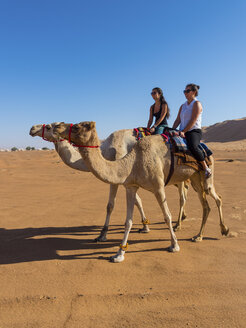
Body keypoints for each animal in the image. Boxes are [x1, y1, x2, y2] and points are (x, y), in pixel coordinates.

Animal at [28, 123, 187, 241]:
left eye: (50, 126)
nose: (32, 128)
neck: (105, 150)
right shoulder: (124, 179)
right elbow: (127, 202)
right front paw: (143, 226)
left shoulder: (121, 176)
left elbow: (123, 203)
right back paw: (182, 219)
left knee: (182, 197)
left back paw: (179, 224)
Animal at [53, 121, 229, 262]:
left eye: (77, 126)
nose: (56, 126)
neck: (132, 161)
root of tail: (205, 147)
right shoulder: (131, 186)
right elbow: (128, 220)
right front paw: (119, 253)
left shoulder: (158, 186)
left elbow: (166, 215)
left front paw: (174, 245)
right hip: (193, 179)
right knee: (205, 204)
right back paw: (199, 235)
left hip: (205, 173)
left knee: (214, 197)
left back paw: (221, 230)